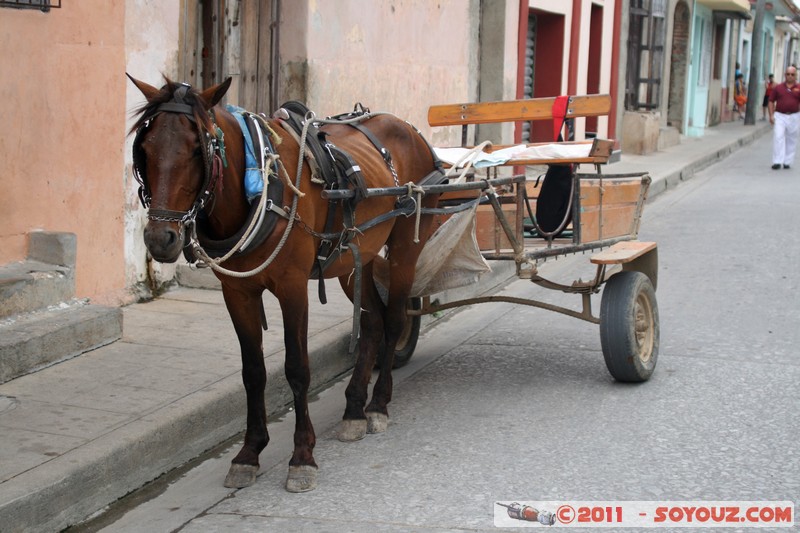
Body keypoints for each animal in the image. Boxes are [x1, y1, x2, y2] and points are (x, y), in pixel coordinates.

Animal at [127, 75, 445, 492]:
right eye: (145, 149)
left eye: (198, 148)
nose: (160, 239)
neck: (258, 188)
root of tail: (410, 129)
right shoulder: (238, 292)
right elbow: (253, 372)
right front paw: (248, 453)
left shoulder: (293, 288)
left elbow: (297, 368)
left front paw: (302, 456)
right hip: (353, 259)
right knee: (372, 323)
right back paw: (354, 410)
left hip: (406, 245)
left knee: (394, 320)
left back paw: (377, 405)